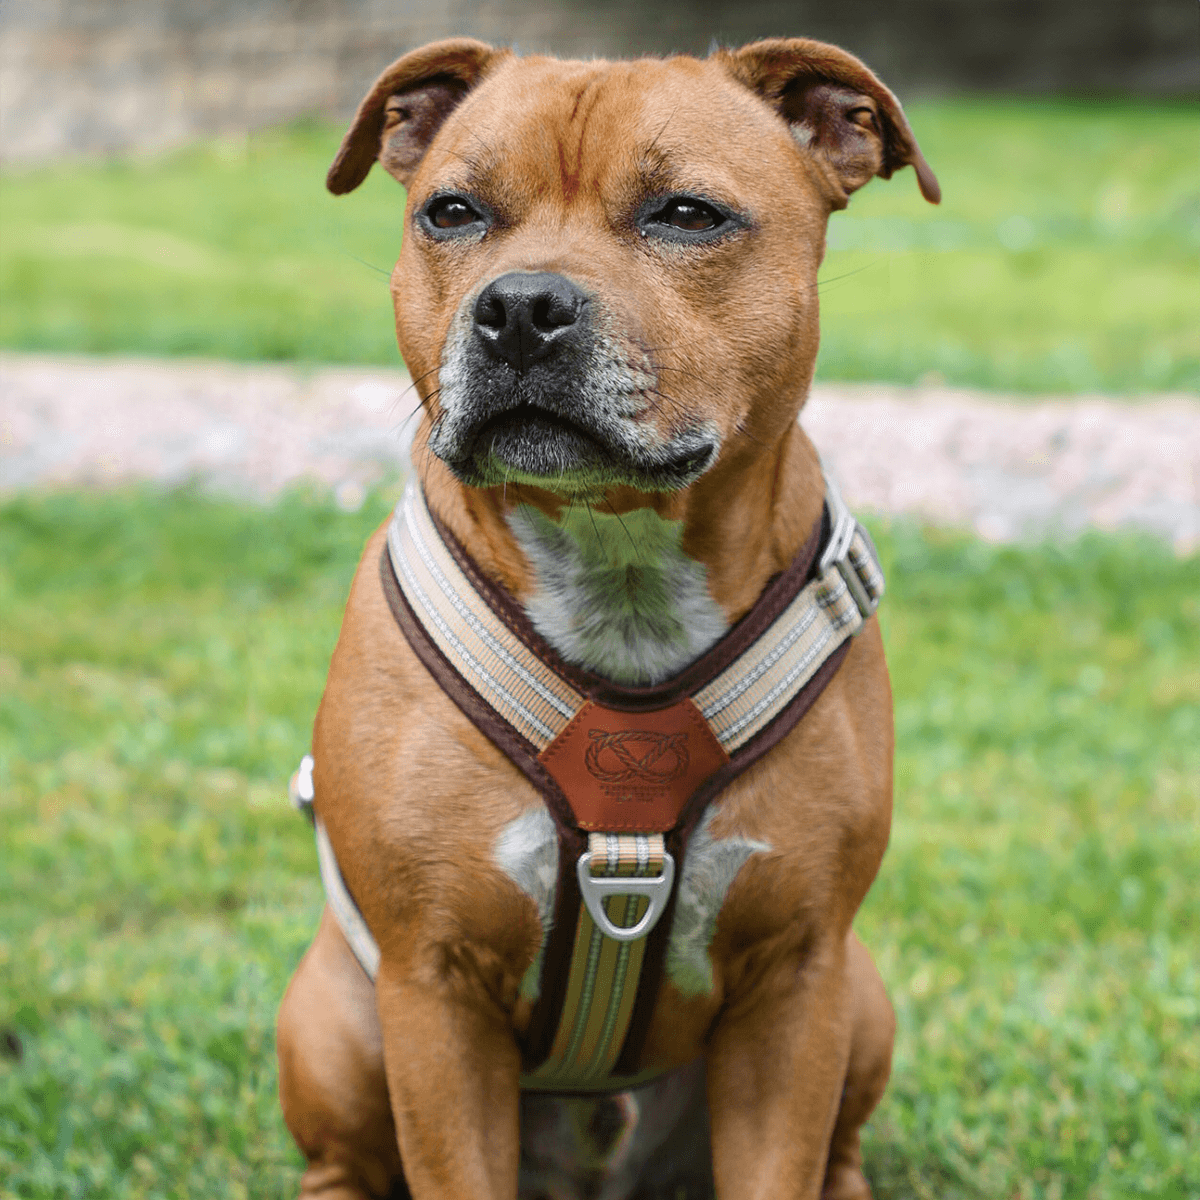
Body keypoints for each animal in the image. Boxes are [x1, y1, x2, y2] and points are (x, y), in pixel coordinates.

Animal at [278, 35, 936, 1200]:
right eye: (452, 211)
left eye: (688, 214)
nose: (519, 308)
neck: (620, 578)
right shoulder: (433, 992)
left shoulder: (797, 983)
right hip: (340, 1019)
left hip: (860, 1002)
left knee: (841, 1150)